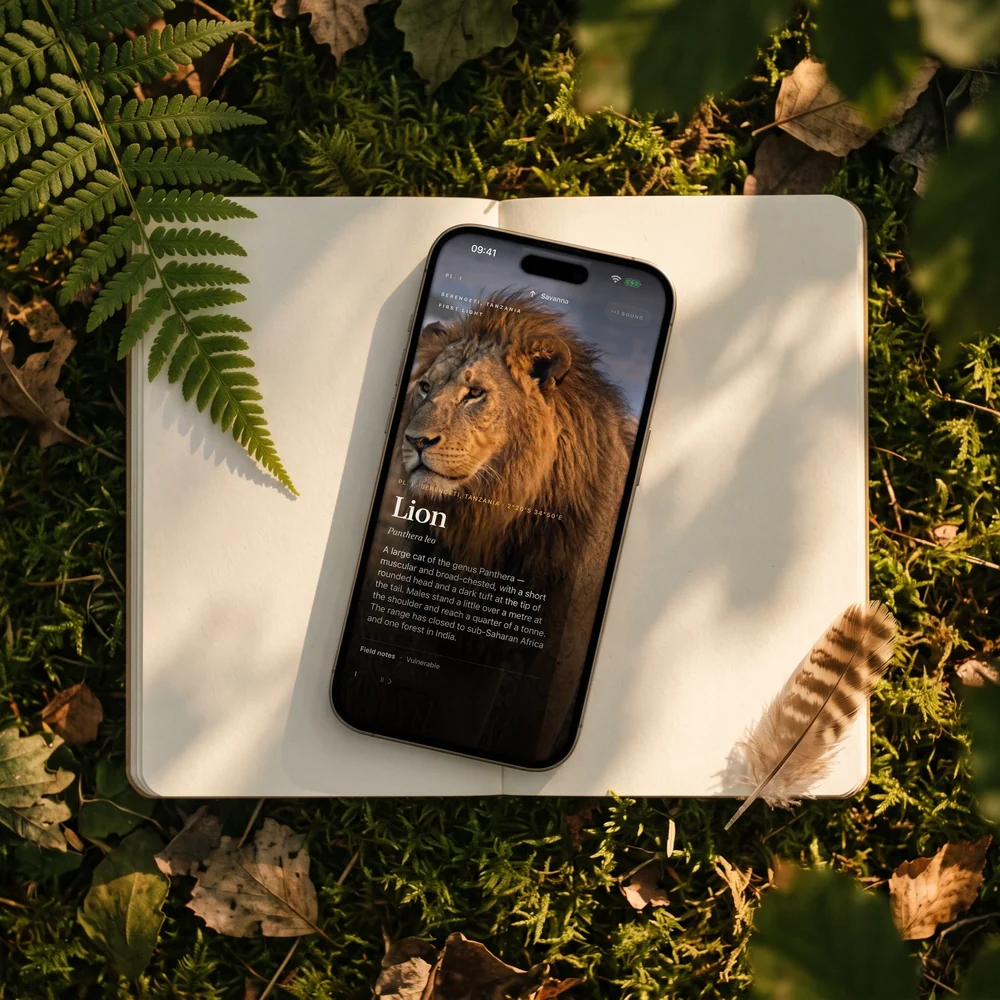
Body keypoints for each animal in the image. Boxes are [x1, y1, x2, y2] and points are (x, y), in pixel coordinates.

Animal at [393, 292, 638, 759]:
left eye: (474, 394)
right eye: (425, 387)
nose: (415, 441)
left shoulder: (558, 660)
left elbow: (530, 738)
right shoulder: (464, 647)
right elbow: (455, 724)